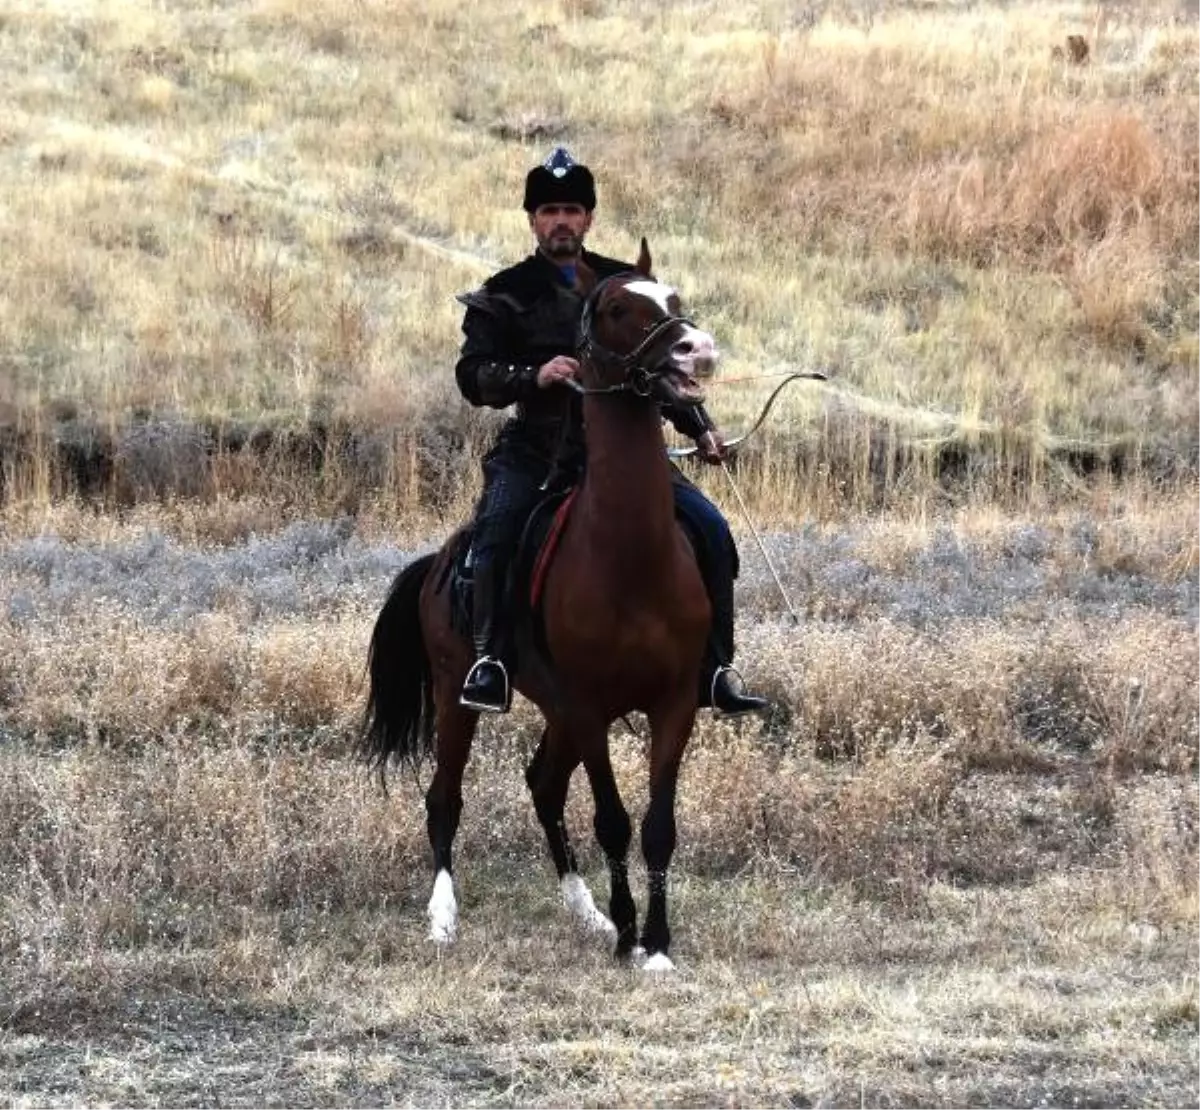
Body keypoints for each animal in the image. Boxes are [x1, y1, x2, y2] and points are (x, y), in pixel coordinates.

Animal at [355, 242, 710, 969]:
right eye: (617, 308)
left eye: (673, 300)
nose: (696, 351)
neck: (630, 559)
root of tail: (437, 563)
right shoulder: (591, 704)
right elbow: (612, 821)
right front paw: (631, 935)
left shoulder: (675, 703)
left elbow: (658, 826)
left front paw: (655, 943)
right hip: (461, 697)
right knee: (445, 797)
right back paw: (444, 917)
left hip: (557, 710)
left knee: (543, 785)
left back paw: (587, 912)